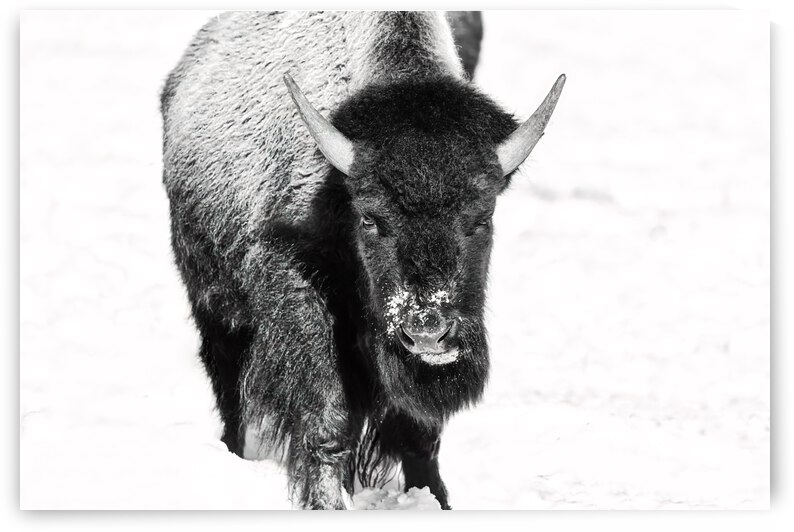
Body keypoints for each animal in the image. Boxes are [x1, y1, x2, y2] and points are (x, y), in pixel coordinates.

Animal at [160, 11, 564, 510]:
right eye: (370, 218)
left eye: (482, 217)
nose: (427, 331)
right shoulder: (293, 283)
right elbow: (326, 414)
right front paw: (326, 502)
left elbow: (418, 432)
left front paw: (435, 499)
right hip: (216, 310)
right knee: (230, 390)